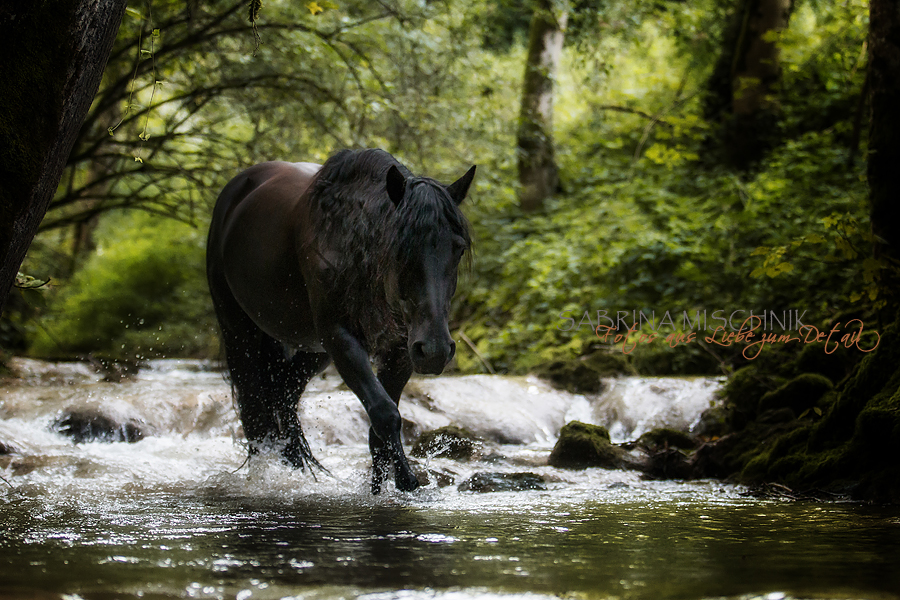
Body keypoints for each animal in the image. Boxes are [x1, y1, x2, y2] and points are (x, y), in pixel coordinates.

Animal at [203, 149, 472, 492]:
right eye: (400, 247)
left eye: (458, 249)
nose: (436, 350)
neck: (350, 240)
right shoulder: (341, 338)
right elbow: (385, 414)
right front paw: (406, 480)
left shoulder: (401, 348)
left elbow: (380, 427)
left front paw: (382, 488)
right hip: (240, 331)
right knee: (256, 411)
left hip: (313, 348)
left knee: (283, 394)